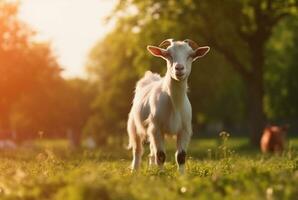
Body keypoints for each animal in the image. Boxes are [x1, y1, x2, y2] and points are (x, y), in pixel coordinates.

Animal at [127, 39, 210, 173]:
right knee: (138, 150)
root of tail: (150, 76)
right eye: (168, 54)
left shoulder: (184, 130)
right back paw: (135, 171)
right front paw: (161, 175)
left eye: (190, 55)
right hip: (134, 125)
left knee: (151, 152)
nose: (179, 68)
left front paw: (182, 176)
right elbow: (161, 155)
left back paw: (151, 169)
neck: (174, 104)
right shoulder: (156, 128)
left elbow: (181, 156)